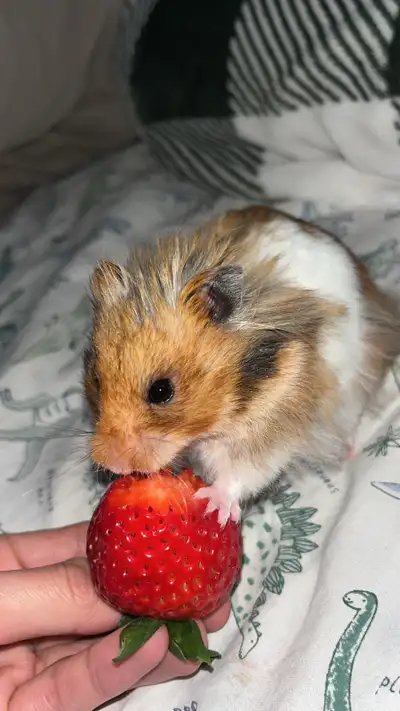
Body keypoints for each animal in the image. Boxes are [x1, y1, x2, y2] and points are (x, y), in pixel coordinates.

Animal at [84, 205, 400, 524]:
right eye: (96, 380)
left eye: (161, 391)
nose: (112, 465)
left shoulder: (272, 426)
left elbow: (243, 472)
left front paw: (212, 504)